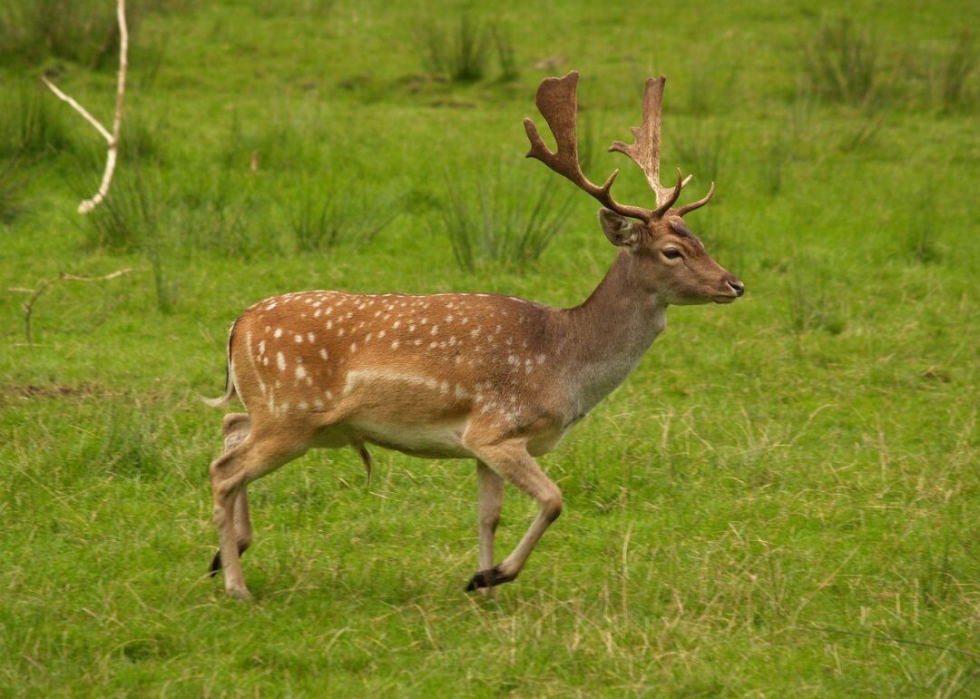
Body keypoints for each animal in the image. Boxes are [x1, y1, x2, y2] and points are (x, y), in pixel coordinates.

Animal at [205, 71, 744, 600]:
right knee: (224, 470)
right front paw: (493, 576)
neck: (564, 362)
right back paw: (236, 585)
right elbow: (553, 500)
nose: (734, 284)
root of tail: (237, 324)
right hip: (290, 415)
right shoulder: (497, 429)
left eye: (701, 240)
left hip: (284, 415)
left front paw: (482, 587)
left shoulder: (483, 445)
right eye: (673, 251)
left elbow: (489, 515)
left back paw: (224, 555)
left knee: (231, 427)